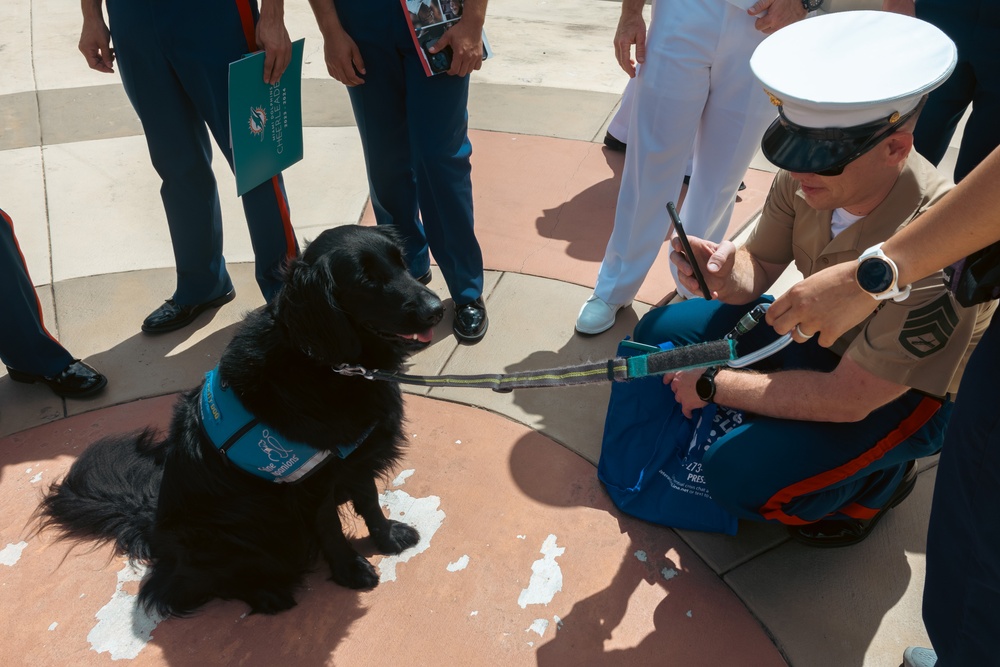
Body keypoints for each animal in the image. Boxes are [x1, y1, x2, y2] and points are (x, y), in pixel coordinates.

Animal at [39, 227, 444, 620]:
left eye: (402, 263)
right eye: (366, 280)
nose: (437, 309)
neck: (324, 362)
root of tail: (151, 524)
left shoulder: (356, 455)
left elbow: (370, 502)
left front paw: (388, 538)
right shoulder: (312, 483)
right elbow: (330, 527)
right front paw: (350, 571)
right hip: (237, 535)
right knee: (181, 588)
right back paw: (267, 594)